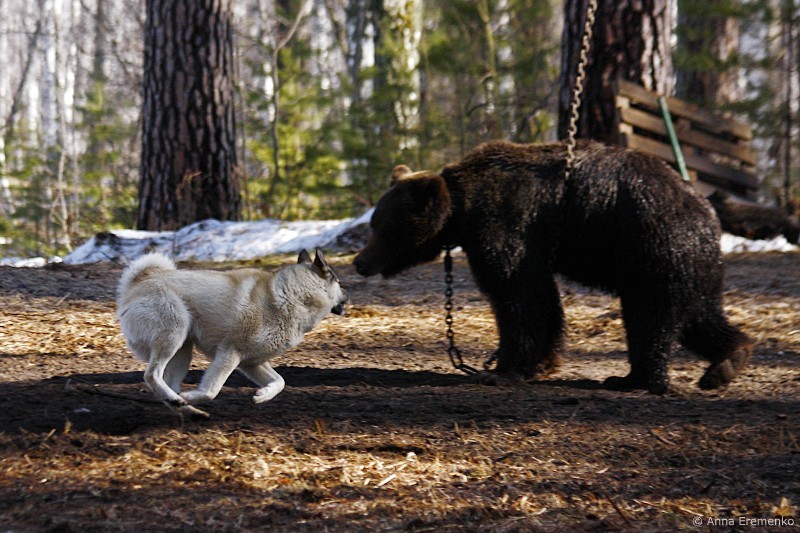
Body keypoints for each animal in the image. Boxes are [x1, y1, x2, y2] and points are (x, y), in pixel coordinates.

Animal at [116, 249, 347, 417]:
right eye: (339, 282)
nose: (348, 297)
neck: (292, 296)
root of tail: (137, 283)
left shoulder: (251, 363)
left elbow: (280, 382)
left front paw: (262, 396)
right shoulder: (230, 353)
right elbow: (210, 391)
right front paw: (192, 396)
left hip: (182, 350)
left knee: (168, 382)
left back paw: (187, 409)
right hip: (172, 336)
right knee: (152, 375)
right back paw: (179, 400)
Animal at [353, 140, 752, 394]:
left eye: (384, 228)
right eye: (374, 223)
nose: (360, 262)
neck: (463, 211)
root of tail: (706, 211)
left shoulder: (505, 226)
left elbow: (518, 295)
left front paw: (503, 370)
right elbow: (541, 299)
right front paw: (540, 363)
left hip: (651, 246)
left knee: (649, 314)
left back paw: (639, 379)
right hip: (687, 262)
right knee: (698, 315)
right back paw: (727, 361)